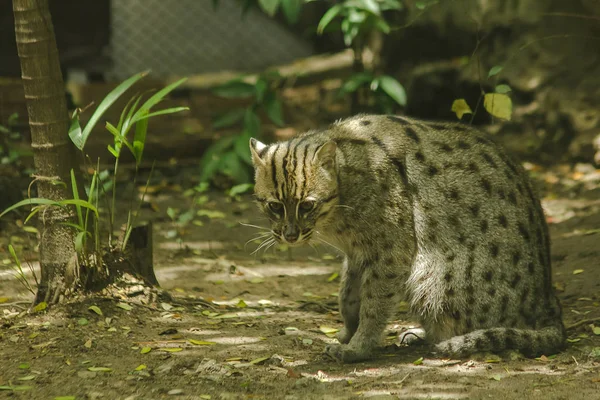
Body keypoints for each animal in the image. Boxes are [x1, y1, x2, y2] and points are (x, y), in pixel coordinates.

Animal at [246, 115, 564, 362]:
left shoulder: (391, 252)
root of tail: (550, 305)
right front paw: (348, 332)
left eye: (307, 205)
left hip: (430, 278)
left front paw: (358, 348)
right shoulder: (358, 254)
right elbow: (347, 295)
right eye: (274, 206)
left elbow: (374, 304)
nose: (290, 235)